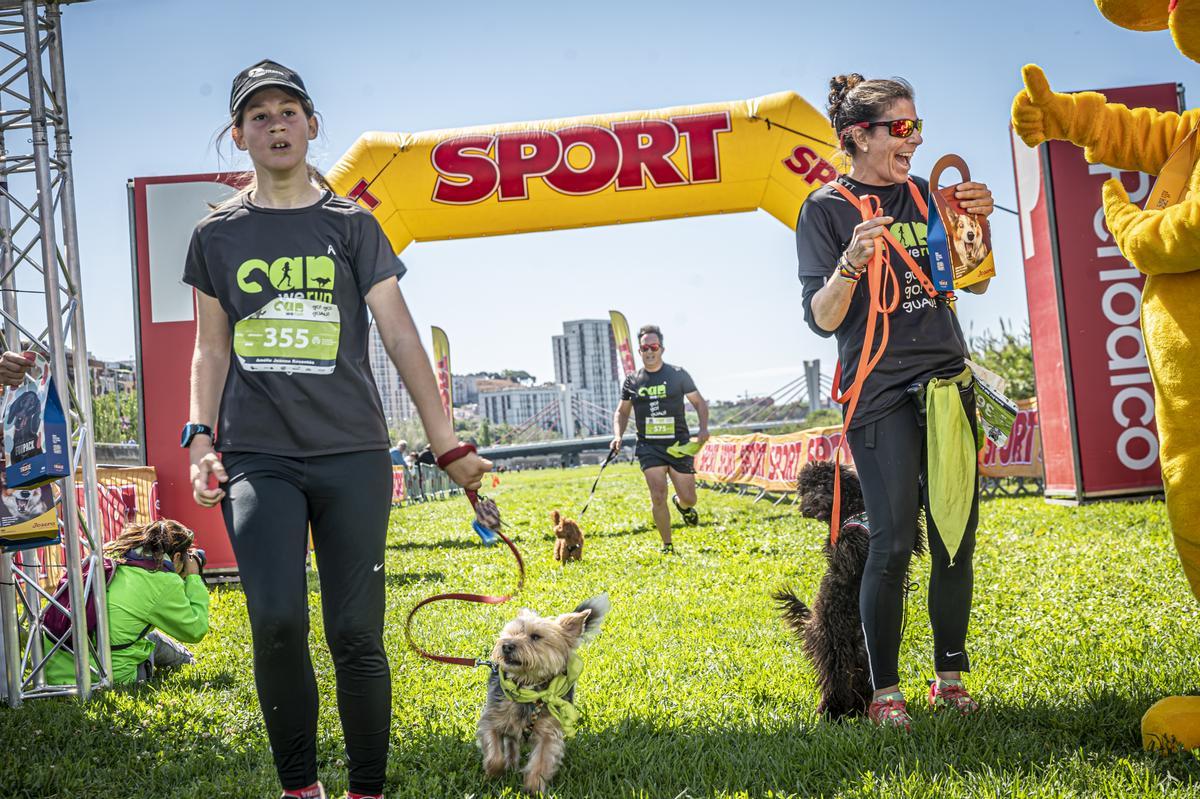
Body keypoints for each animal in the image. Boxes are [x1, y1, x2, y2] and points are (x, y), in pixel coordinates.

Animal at [477, 590, 609, 791]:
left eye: (536, 636)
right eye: (511, 633)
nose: (506, 645)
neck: (529, 687)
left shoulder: (549, 732)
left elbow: (540, 762)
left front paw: (533, 789)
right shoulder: (492, 720)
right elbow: (494, 753)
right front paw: (494, 775)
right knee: (511, 743)